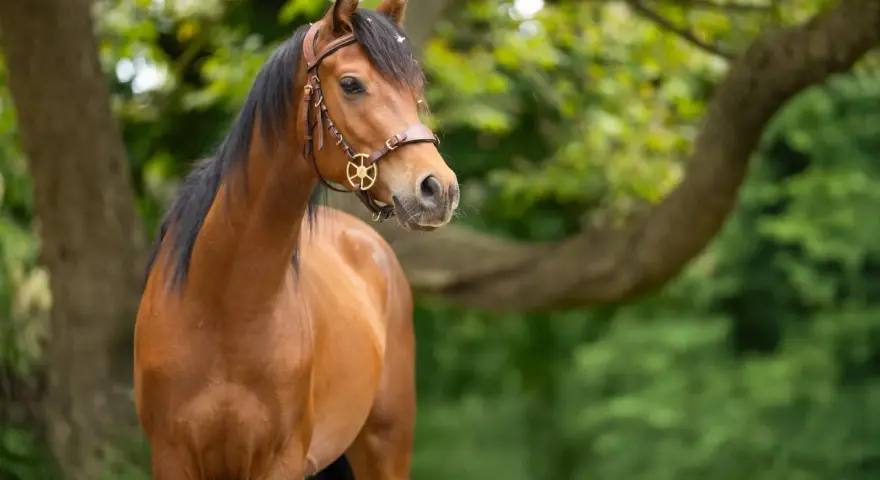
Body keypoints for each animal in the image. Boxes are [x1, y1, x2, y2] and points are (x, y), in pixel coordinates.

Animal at [133, 0, 459, 478]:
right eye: (351, 84)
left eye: (414, 89)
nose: (439, 189)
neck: (222, 305)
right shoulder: (172, 458)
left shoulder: (281, 460)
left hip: (385, 445)